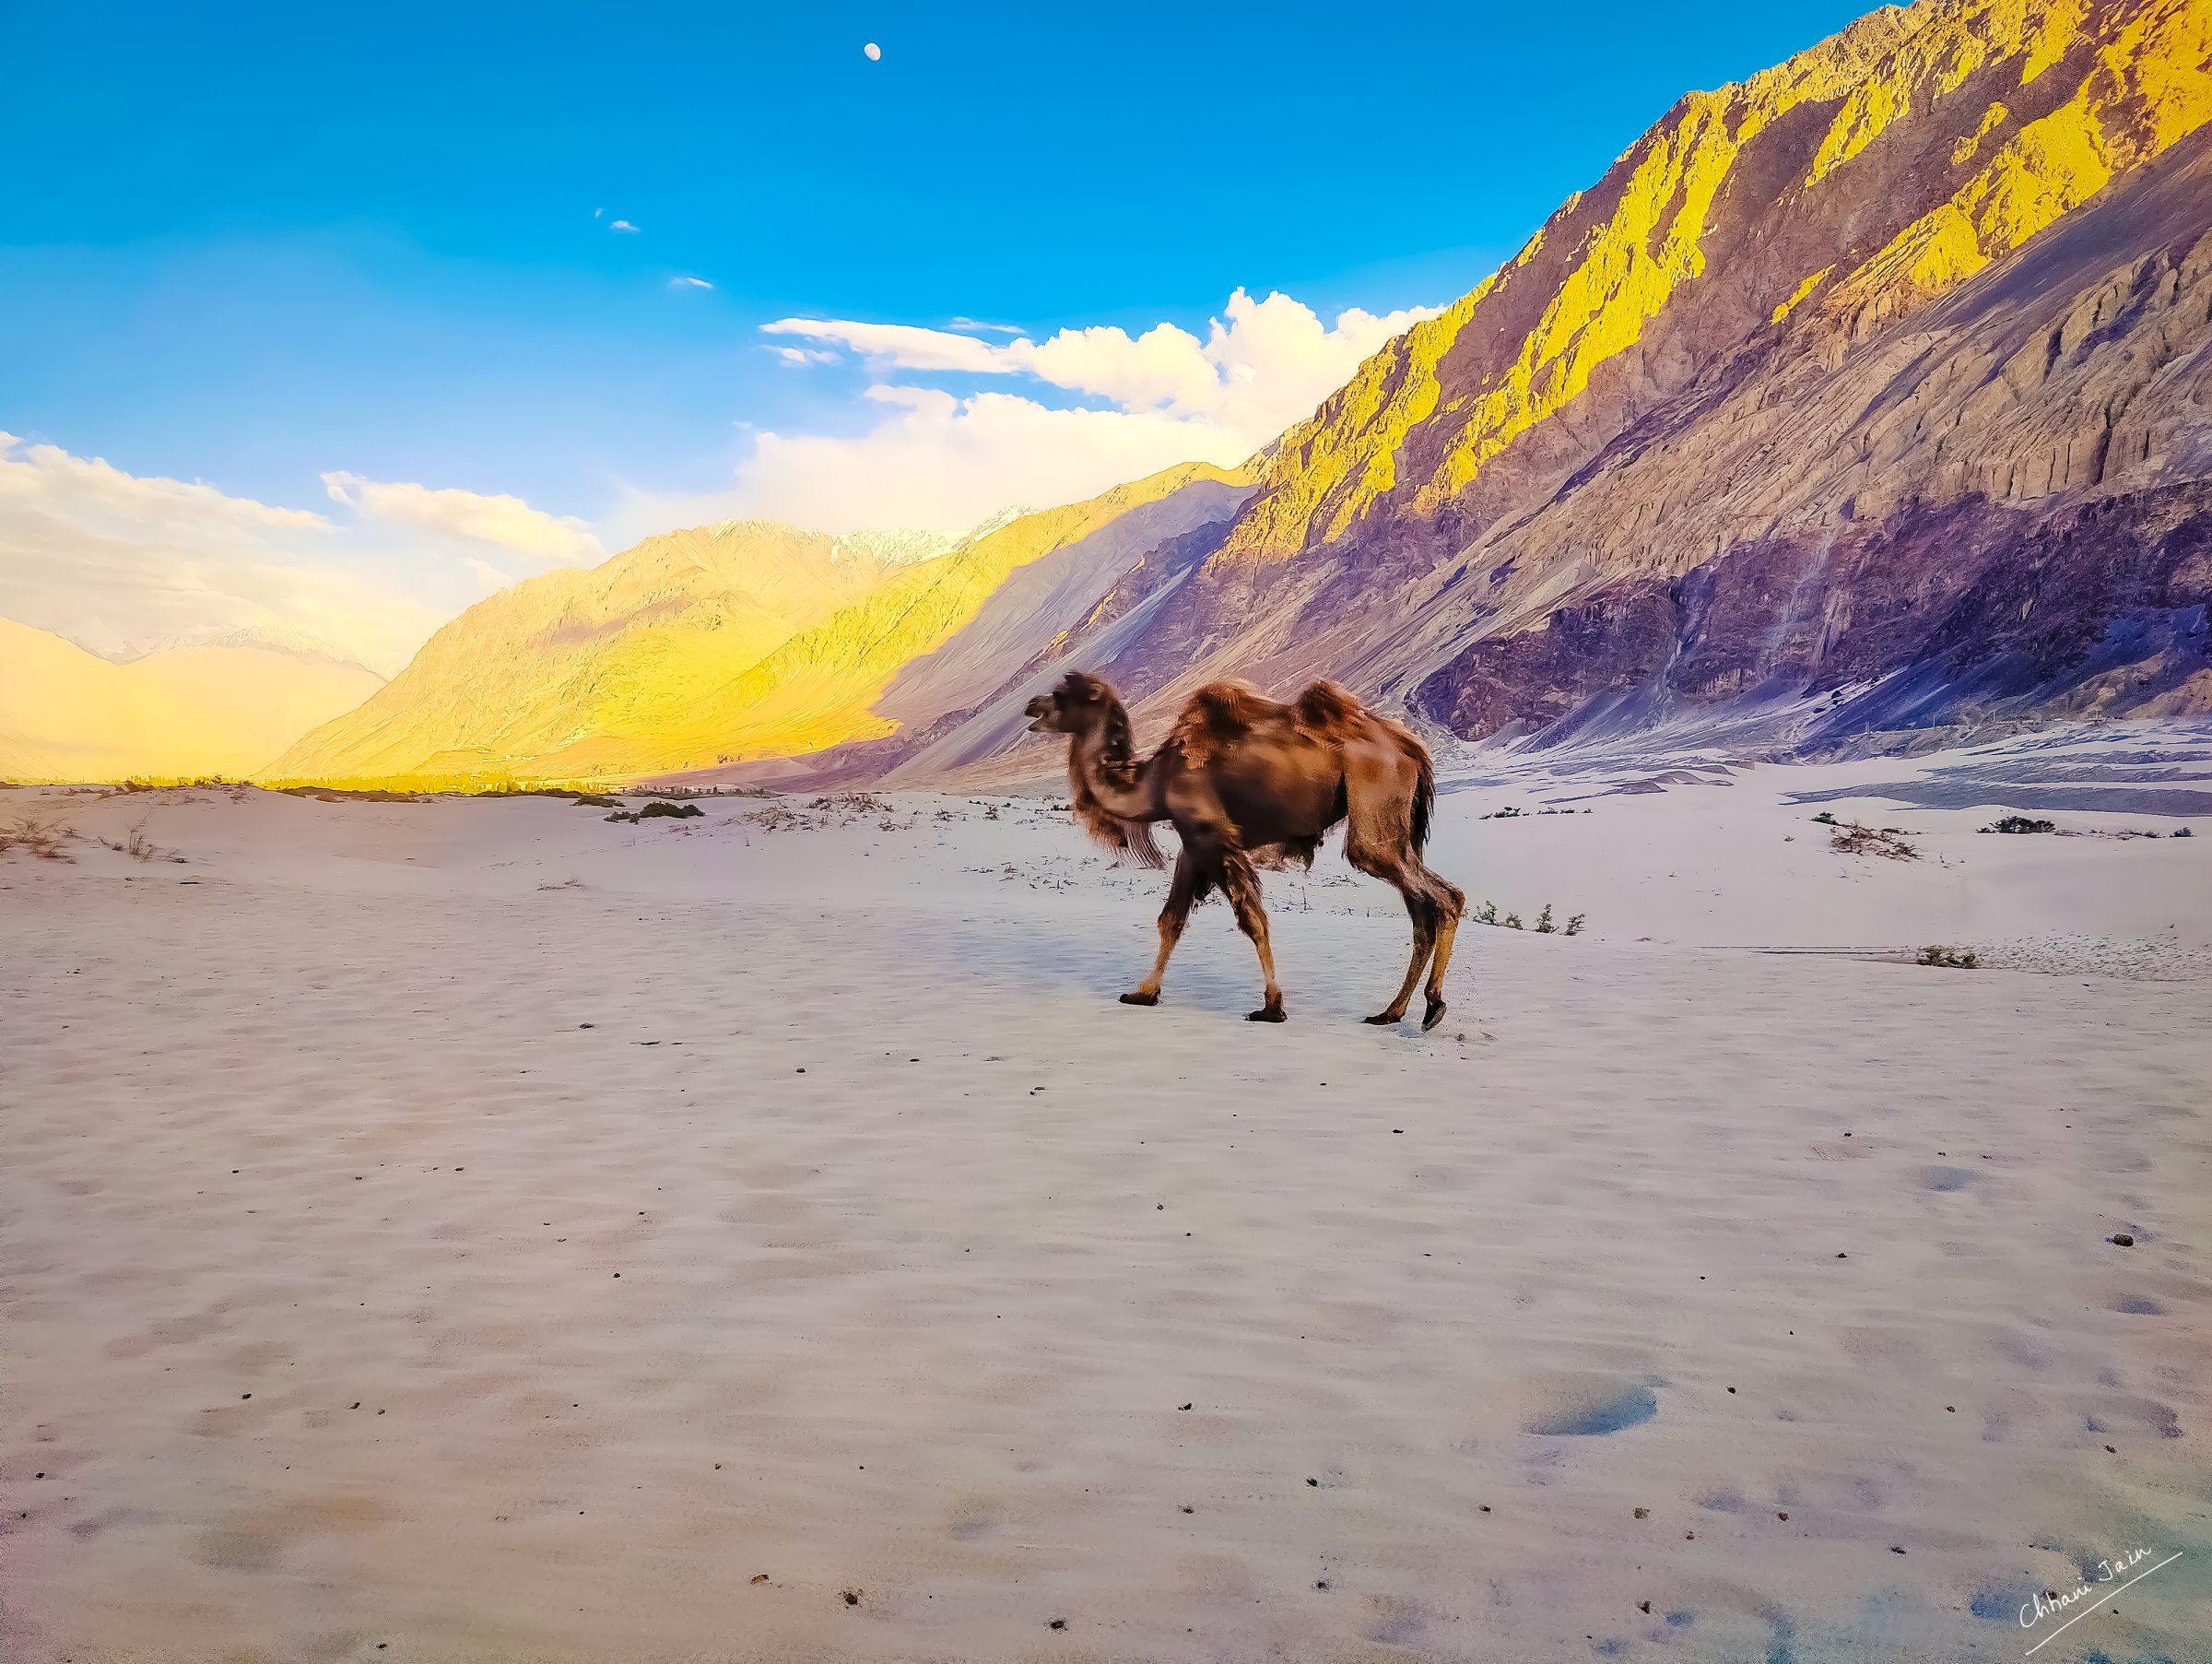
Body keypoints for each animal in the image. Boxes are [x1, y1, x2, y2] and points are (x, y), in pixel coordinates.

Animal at [1024, 671, 1466, 1028]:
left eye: (1063, 695)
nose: (1032, 705)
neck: (1155, 782)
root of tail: (1411, 749)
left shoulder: (1212, 836)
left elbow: (1252, 920)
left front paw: (1272, 1008)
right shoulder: (1192, 845)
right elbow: (1171, 919)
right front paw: (1143, 993)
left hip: (1374, 803)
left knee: (1437, 895)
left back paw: (1432, 1006)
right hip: (1400, 828)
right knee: (1423, 911)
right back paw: (1390, 1012)